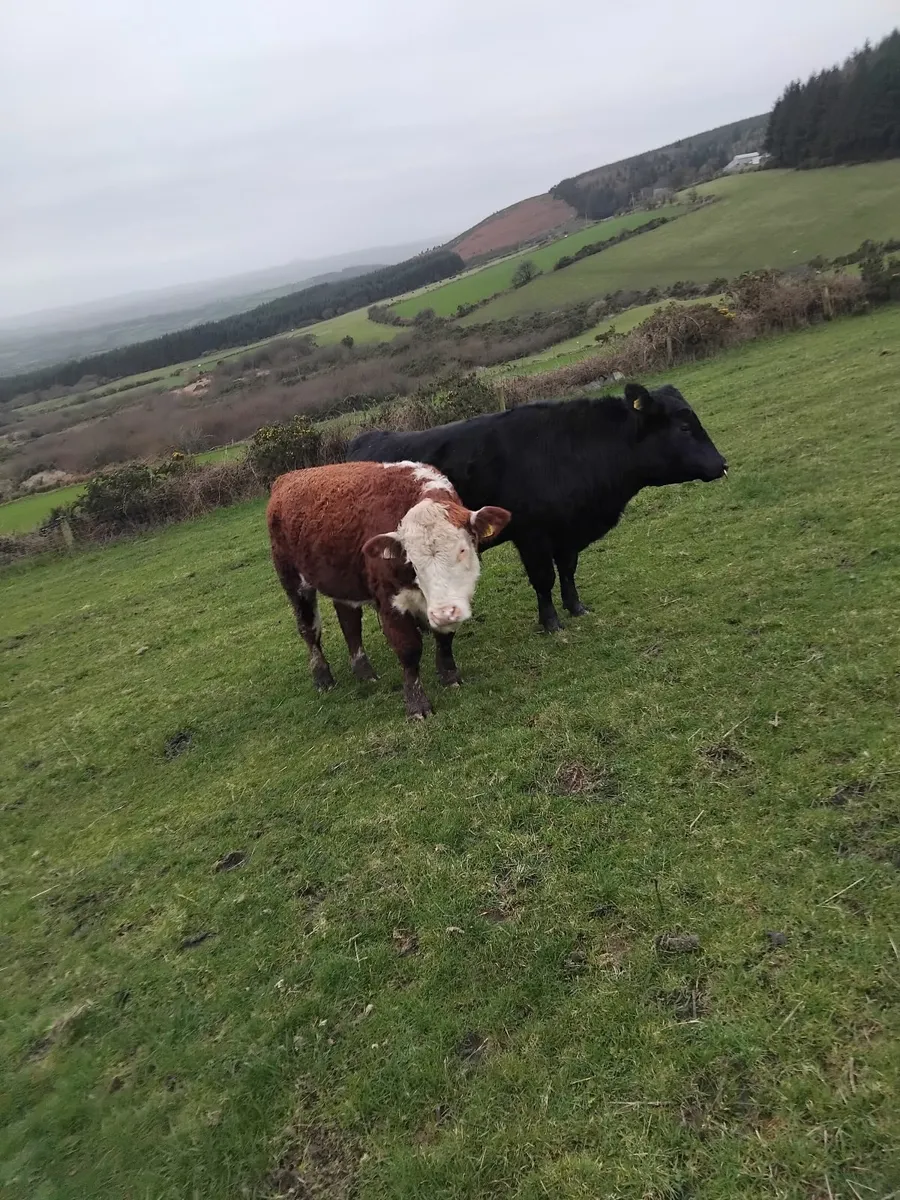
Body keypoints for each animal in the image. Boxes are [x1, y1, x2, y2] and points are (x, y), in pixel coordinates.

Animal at [266, 461, 510, 719]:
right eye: (412, 560)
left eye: (462, 549)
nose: (444, 612)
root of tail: (287, 477)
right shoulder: (390, 600)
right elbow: (408, 649)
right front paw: (417, 705)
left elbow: (445, 636)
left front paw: (449, 676)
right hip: (294, 581)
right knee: (309, 629)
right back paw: (322, 676)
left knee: (349, 621)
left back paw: (363, 670)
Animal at [348, 382, 727, 635]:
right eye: (684, 427)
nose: (722, 464)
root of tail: (364, 440)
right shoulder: (533, 535)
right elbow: (543, 578)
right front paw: (551, 623)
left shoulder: (567, 532)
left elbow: (569, 571)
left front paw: (576, 608)